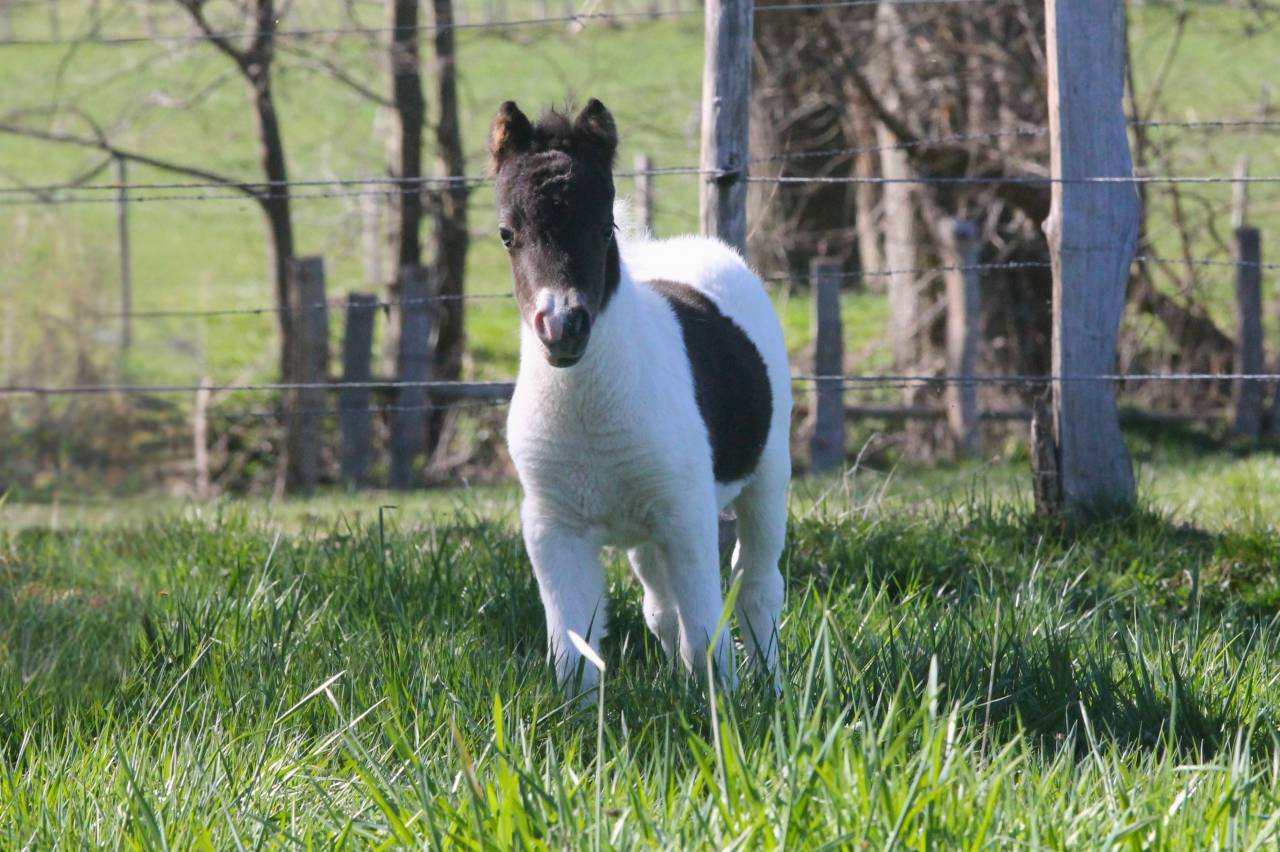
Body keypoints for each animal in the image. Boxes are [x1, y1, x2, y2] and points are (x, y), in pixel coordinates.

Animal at [491, 98, 792, 694]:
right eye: (507, 233)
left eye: (605, 227)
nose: (563, 328)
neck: (587, 410)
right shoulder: (552, 528)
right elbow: (574, 650)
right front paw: (577, 717)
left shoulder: (686, 515)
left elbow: (707, 630)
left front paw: (723, 708)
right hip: (644, 532)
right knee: (661, 606)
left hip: (768, 475)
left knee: (757, 587)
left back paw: (773, 686)